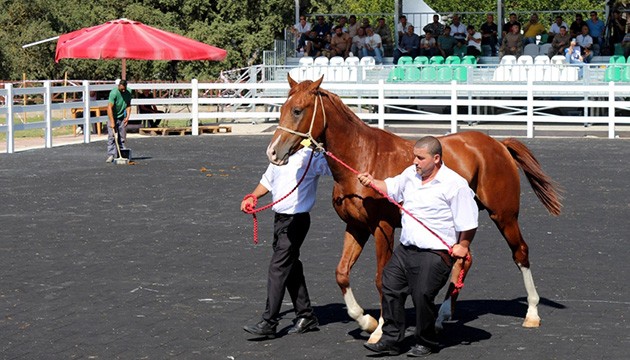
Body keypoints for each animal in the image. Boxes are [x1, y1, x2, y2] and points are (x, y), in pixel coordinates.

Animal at [266, 76, 564, 344]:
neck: (363, 157)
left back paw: (532, 313)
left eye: (297, 110)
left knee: (520, 253)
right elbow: (341, 273)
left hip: (504, 215)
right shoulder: (356, 227)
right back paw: (442, 317)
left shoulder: (382, 228)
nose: (272, 152)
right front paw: (365, 319)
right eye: (281, 108)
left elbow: (380, 278)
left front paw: (379, 329)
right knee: (464, 259)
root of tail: (499, 145)